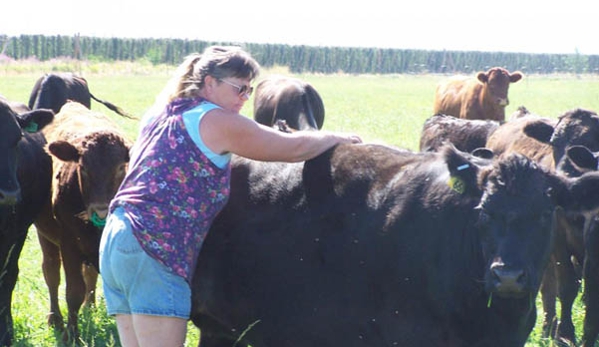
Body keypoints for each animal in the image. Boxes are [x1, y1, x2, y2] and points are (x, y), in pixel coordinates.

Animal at [35, 102, 131, 344]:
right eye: (84, 168)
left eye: (120, 167)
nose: (100, 210)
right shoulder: (69, 243)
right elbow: (73, 291)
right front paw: (72, 333)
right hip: (45, 236)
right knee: (51, 273)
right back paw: (55, 319)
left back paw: (90, 306)